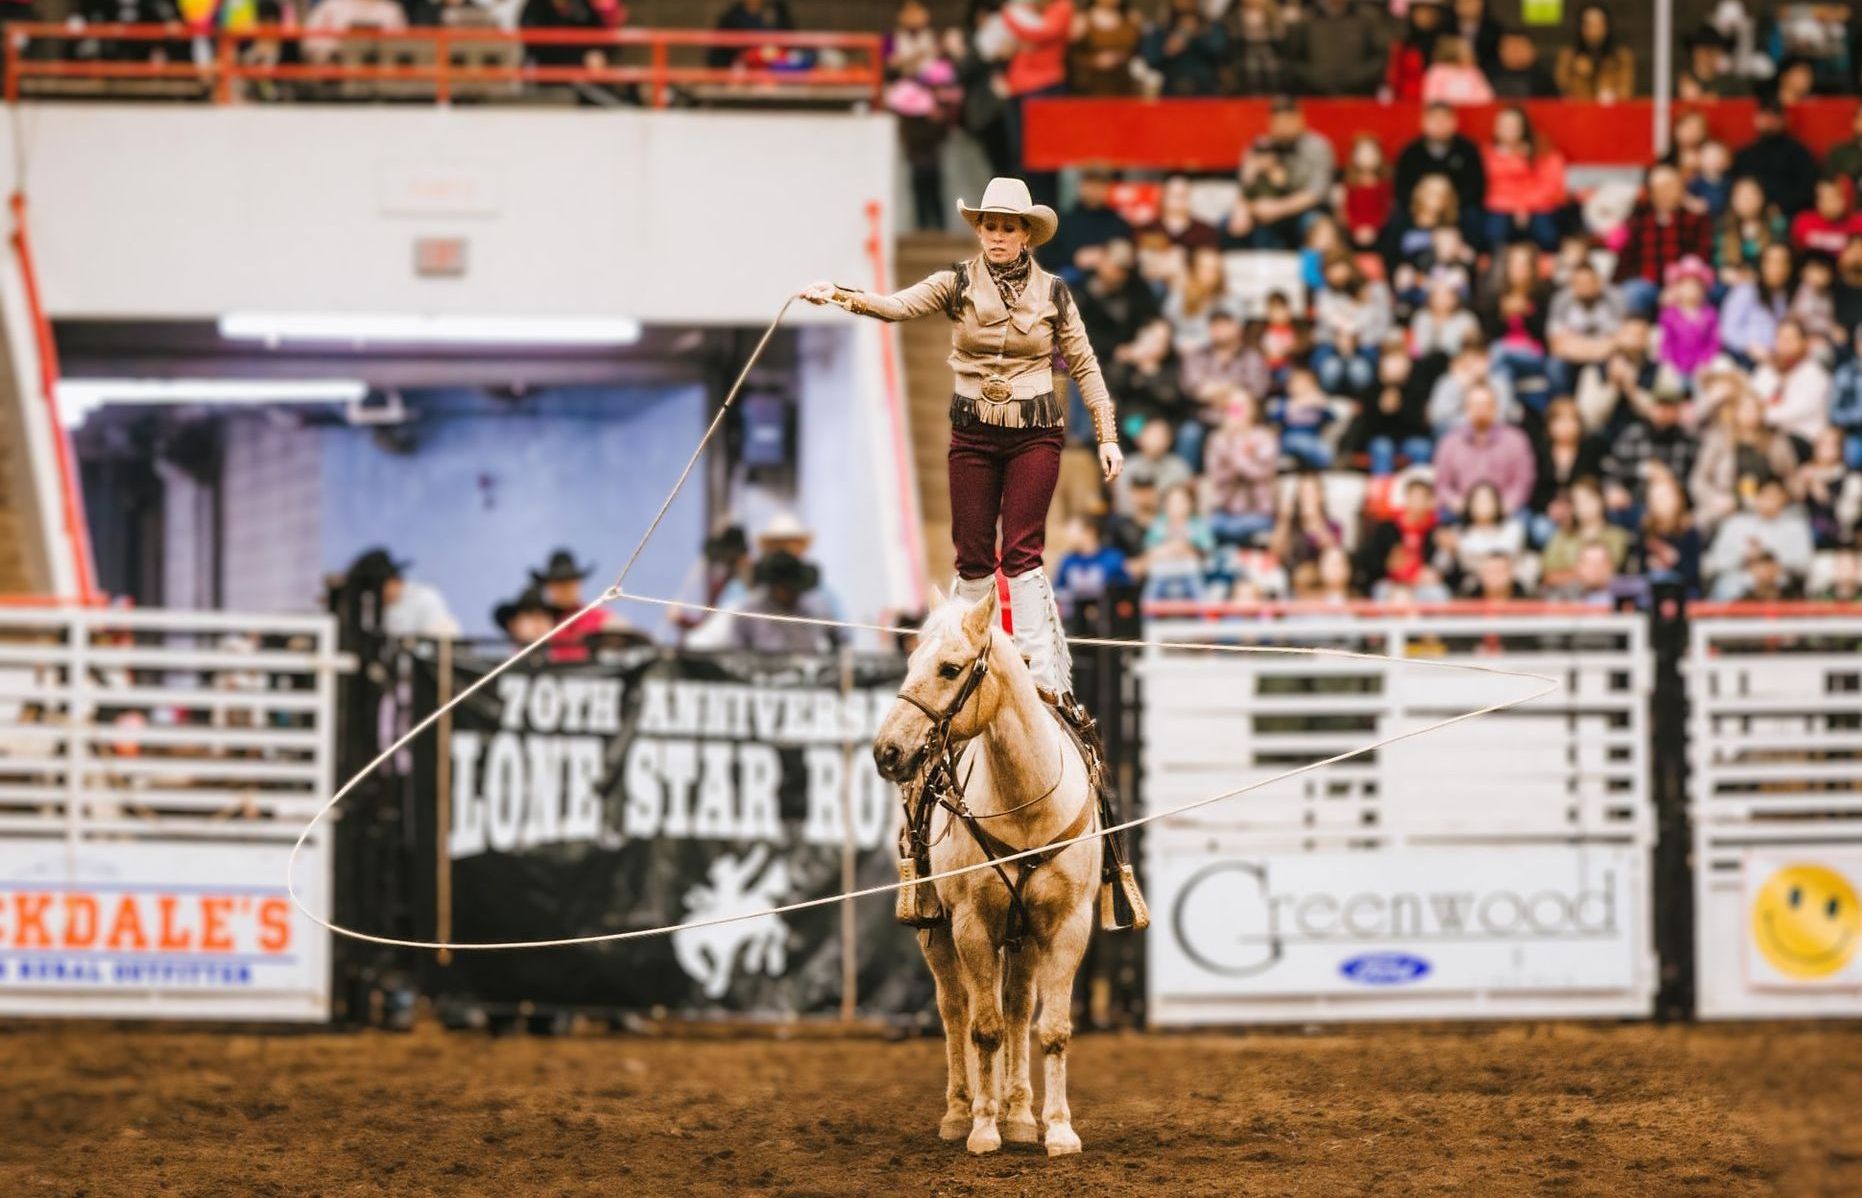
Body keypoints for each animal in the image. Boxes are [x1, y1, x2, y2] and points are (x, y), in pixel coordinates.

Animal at [875, 585, 1102, 1155]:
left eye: (950, 668)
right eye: (911, 661)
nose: (887, 752)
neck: (1026, 805)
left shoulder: (1067, 924)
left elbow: (1051, 1028)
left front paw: (1058, 1130)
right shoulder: (972, 925)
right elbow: (983, 1028)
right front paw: (982, 1128)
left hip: (1023, 935)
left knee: (1018, 1007)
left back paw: (1018, 1113)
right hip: (937, 932)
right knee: (955, 1008)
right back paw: (963, 1110)